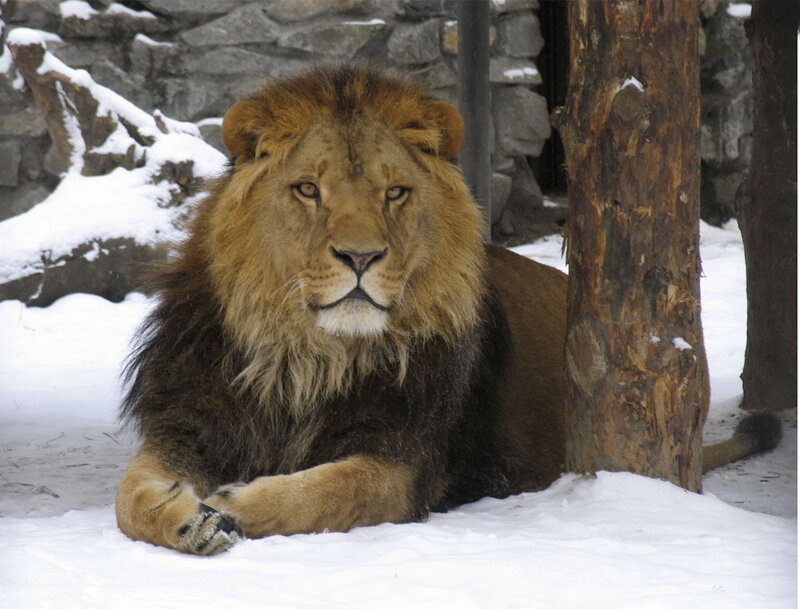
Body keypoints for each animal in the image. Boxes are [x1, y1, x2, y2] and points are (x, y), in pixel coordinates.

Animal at [116, 66, 780, 555]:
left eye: (394, 193)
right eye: (307, 189)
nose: (361, 256)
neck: (306, 357)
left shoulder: (406, 462)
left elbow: (332, 490)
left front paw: (231, 504)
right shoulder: (188, 421)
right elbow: (130, 496)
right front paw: (189, 517)